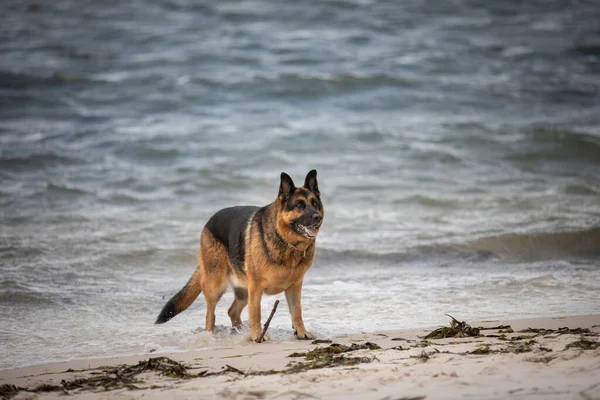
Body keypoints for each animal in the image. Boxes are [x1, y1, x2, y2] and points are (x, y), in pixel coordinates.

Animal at [155, 169, 324, 340]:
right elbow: (256, 313)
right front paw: (258, 336)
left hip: (243, 291)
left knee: (232, 311)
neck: (286, 241)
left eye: (315, 204)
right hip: (216, 286)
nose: (318, 217)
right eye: (299, 205)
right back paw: (211, 335)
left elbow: (297, 312)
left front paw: (301, 331)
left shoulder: (294, 288)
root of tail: (209, 221)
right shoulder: (256, 287)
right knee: (210, 314)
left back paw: (239, 331)